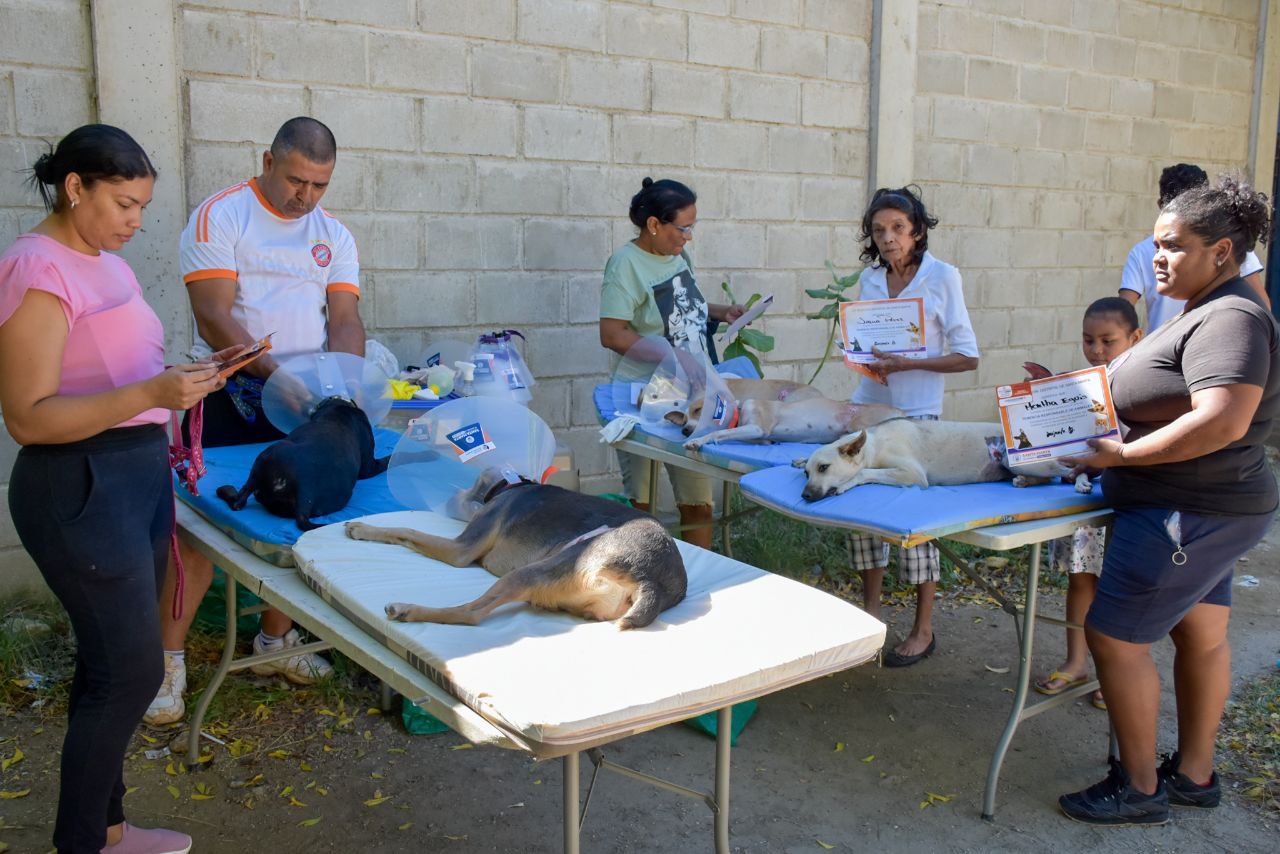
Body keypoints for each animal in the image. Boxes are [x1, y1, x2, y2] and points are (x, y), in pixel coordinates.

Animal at [217, 396, 386, 530]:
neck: (339, 407)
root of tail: (304, 491)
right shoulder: (369, 467)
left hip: (265, 459)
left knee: (240, 500)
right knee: (240, 500)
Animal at [798, 419, 1090, 501]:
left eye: (824, 467)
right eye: (807, 474)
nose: (805, 495)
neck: (874, 444)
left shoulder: (913, 474)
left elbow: (862, 474)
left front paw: (844, 485)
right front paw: (798, 460)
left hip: (1023, 459)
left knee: (1070, 469)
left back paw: (1082, 482)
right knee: (1049, 478)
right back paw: (1024, 482)